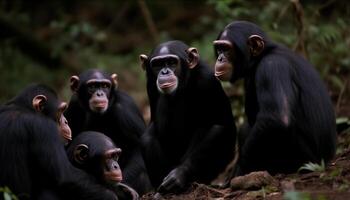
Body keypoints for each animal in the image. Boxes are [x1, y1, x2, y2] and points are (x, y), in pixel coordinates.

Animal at [138, 40, 237, 195]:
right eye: (157, 64)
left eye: (171, 62)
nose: (164, 72)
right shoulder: (150, 85)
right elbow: (151, 128)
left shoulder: (207, 80)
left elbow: (220, 125)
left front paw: (179, 174)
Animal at [212, 21, 338, 176]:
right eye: (219, 49)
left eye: (227, 49)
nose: (220, 58)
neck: (262, 56)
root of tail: (327, 161)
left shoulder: (272, 67)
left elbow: (276, 118)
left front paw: (239, 169)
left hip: (302, 159)